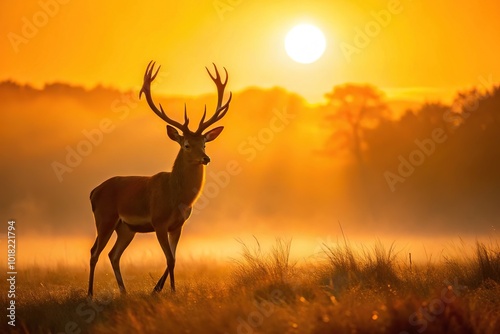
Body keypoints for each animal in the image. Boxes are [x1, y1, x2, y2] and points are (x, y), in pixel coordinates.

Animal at [87, 61, 231, 296]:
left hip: (126, 228)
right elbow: (170, 258)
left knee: (113, 254)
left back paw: (124, 292)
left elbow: (173, 259)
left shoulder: (178, 225)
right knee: (94, 252)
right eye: (186, 144)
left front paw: (162, 289)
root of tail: (93, 191)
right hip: (105, 217)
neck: (176, 197)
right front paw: (167, 290)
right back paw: (90, 293)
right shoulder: (159, 221)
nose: (206, 158)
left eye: (205, 143)